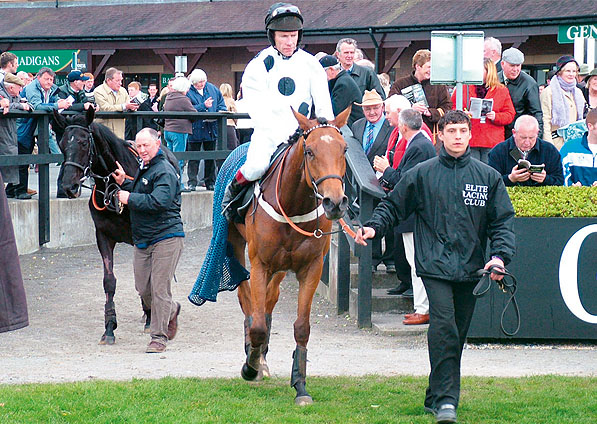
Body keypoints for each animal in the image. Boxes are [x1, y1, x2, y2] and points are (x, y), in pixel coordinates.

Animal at [52, 107, 175, 344]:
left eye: (83, 142)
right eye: (62, 143)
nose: (69, 186)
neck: (113, 189)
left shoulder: (141, 237)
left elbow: (147, 277)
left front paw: (151, 316)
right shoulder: (103, 236)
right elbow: (109, 281)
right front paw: (109, 327)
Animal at [228, 107, 350, 406]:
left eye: (344, 149)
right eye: (310, 151)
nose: (335, 202)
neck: (293, 205)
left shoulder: (311, 267)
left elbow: (301, 327)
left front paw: (300, 385)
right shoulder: (259, 263)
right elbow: (258, 324)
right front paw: (251, 366)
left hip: (281, 267)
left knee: (269, 300)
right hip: (236, 245)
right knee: (247, 300)